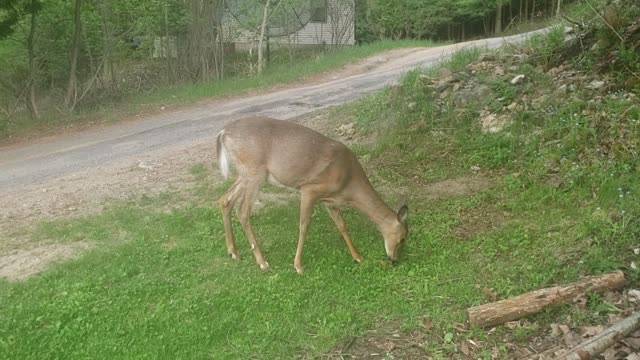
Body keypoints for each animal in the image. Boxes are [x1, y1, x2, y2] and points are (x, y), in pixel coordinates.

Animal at [214, 116, 404, 274]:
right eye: (403, 238)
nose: (394, 259)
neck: (349, 184)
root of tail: (223, 132)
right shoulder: (310, 189)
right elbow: (304, 226)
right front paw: (298, 265)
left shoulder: (330, 200)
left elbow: (342, 225)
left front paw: (357, 256)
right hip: (254, 172)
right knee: (242, 210)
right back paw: (262, 262)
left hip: (245, 174)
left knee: (225, 200)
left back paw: (233, 252)